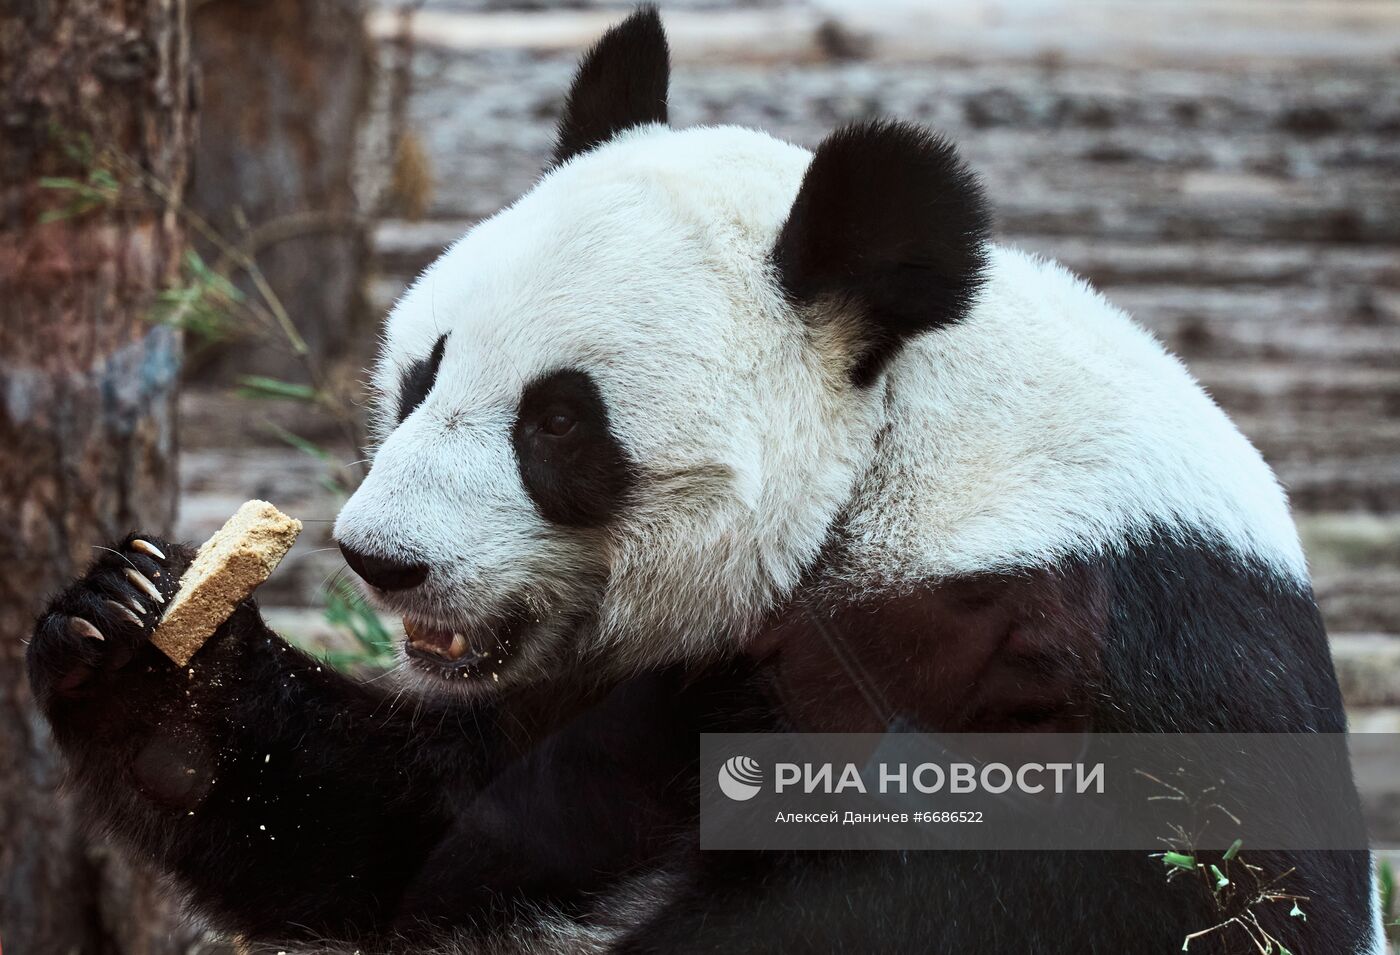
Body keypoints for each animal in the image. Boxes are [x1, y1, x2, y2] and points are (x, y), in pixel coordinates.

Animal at [27, 7, 1383, 952]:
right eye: (419, 374)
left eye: (558, 423)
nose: (381, 559)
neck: (893, 461)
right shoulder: (649, 685)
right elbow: (411, 823)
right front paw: (128, 623)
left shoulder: (1092, 648)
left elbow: (1101, 891)